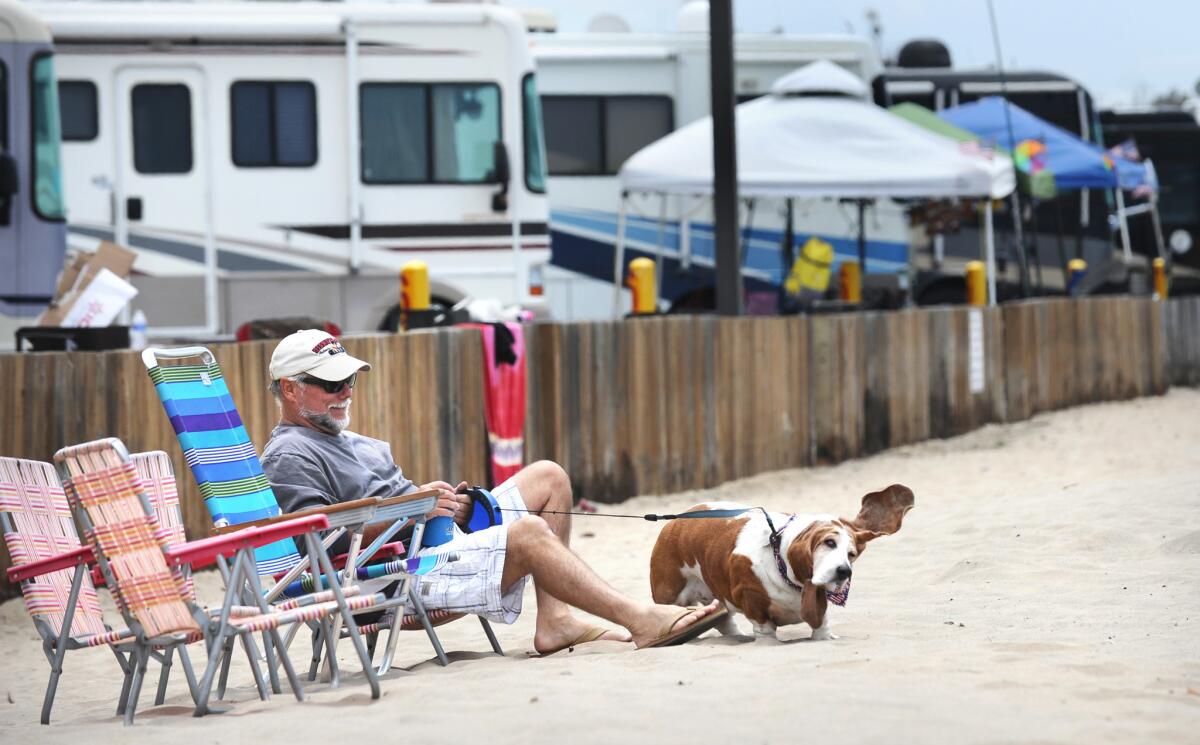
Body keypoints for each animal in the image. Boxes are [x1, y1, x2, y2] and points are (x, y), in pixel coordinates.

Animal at [652, 482, 912, 638]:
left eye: (852, 554)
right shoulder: (752, 602)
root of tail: (675, 522)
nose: (843, 572)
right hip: (669, 597)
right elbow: (765, 630)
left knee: (724, 621)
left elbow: (822, 625)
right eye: (829, 543)